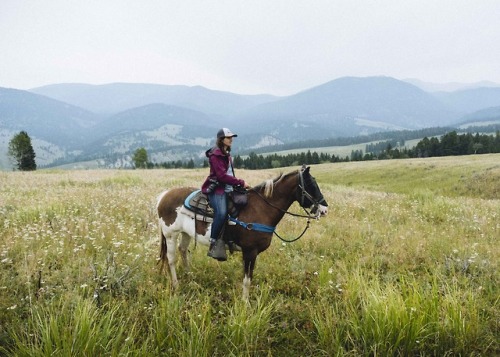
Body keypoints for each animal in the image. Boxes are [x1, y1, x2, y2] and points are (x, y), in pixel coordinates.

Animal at [156, 165, 328, 298]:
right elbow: (247, 280)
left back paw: (190, 278)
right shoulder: (250, 251)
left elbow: (248, 277)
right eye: (311, 185)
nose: (324, 209)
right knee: (172, 259)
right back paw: (176, 285)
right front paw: (245, 304)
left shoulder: (251, 253)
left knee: (183, 251)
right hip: (170, 234)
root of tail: (163, 196)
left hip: (186, 233)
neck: (262, 208)